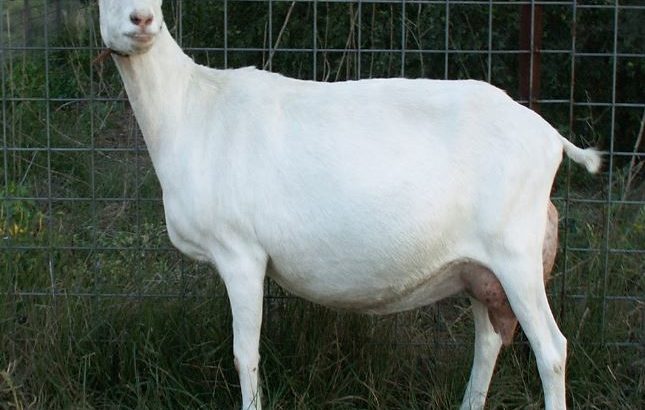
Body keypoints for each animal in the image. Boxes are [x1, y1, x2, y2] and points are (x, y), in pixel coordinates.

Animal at [97, 1, 601, 409]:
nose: (143, 20)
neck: (192, 107)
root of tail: (550, 137)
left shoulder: (240, 252)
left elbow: (245, 354)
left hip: (516, 254)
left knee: (552, 350)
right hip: (479, 270)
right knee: (489, 342)